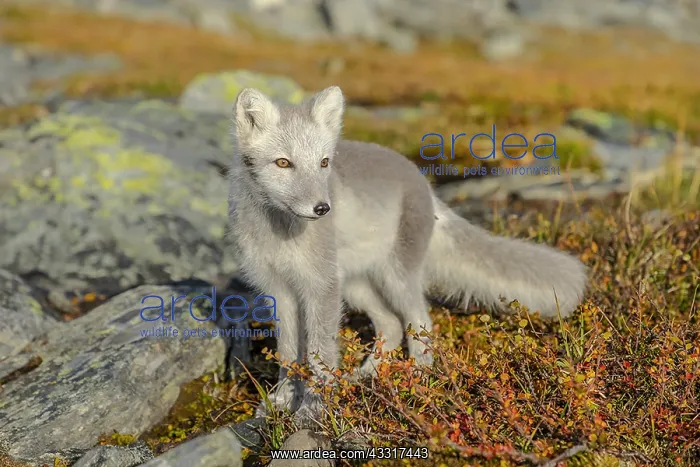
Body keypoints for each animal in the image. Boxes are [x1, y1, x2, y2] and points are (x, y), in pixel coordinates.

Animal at [227, 85, 588, 417]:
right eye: (283, 163)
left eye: (323, 163)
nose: (322, 209)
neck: (277, 232)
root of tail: (422, 180)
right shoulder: (279, 291)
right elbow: (288, 354)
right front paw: (280, 402)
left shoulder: (320, 288)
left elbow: (320, 355)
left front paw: (312, 411)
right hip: (357, 286)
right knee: (391, 326)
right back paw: (365, 376)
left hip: (395, 279)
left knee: (421, 324)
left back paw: (417, 379)